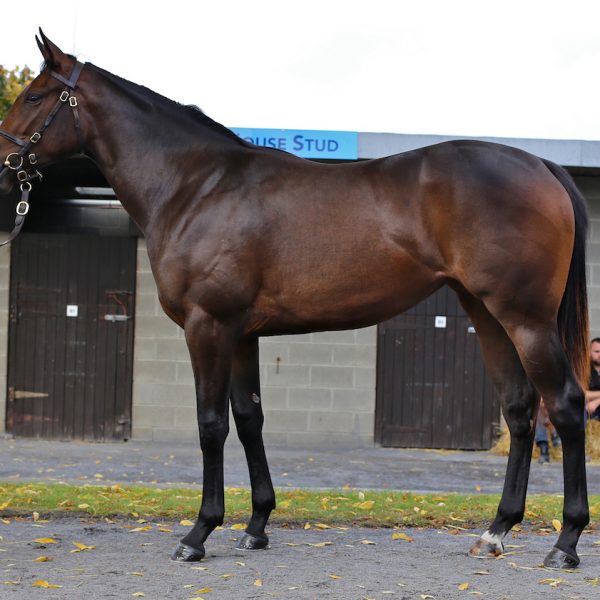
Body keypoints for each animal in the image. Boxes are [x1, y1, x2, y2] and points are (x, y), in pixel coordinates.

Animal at [0, 31, 592, 568]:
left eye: (34, 96)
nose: (4, 164)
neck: (196, 187)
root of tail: (541, 166)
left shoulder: (207, 326)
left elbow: (211, 424)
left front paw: (198, 534)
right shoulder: (242, 334)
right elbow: (249, 418)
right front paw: (257, 525)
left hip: (526, 319)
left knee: (564, 405)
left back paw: (565, 543)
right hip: (485, 313)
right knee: (520, 409)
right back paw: (495, 532)